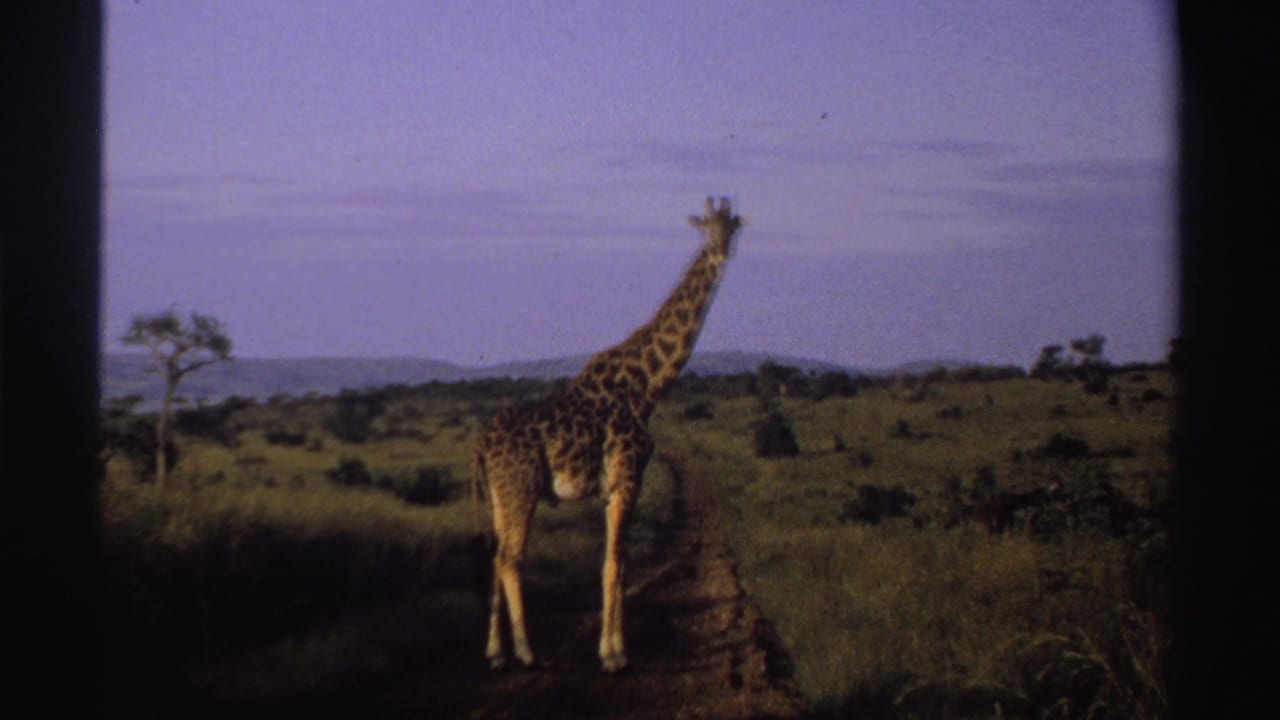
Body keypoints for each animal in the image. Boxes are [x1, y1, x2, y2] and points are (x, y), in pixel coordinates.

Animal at [472, 196, 743, 672]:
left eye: (731, 229)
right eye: (705, 229)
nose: (720, 253)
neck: (647, 385)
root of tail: (481, 446)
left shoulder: (614, 486)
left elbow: (622, 562)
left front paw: (616, 647)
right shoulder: (626, 477)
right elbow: (614, 563)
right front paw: (614, 654)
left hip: (499, 496)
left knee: (494, 556)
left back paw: (496, 653)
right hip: (522, 489)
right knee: (509, 559)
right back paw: (526, 652)